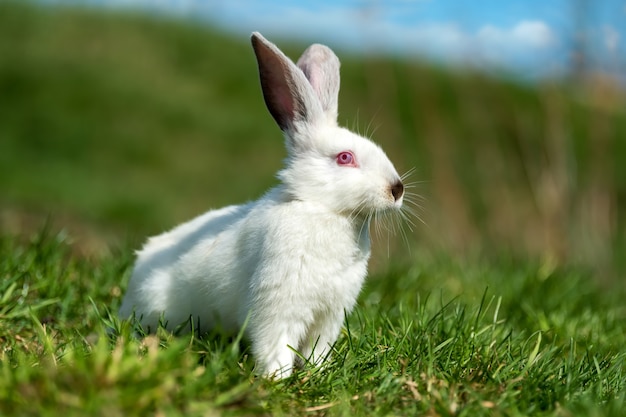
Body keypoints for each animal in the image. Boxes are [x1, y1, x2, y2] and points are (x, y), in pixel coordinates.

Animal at [118, 32, 404, 376]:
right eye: (345, 157)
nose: (397, 189)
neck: (321, 209)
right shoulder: (278, 306)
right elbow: (275, 346)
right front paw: (276, 378)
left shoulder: (329, 316)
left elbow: (317, 351)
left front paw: (316, 372)